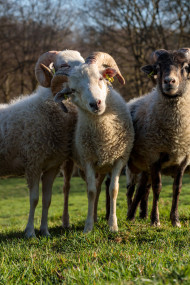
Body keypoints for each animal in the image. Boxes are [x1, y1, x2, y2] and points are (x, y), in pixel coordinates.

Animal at [0, 49, 84, 237]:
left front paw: (45, 231)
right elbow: (34, 199)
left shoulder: (52, 166)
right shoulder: (33, 163)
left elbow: (47, 200)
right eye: (64, 65)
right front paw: (30, 232)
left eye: (82, 61)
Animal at [52, 51, 134, 231]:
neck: (105, 136)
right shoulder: (88, 159)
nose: (95, 103)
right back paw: (67, 221)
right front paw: (88, 227)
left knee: (99, 185)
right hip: (70, 161)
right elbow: (90, 191)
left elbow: (113, 190)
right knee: (67, 187)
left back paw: (96, 217)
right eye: (73, 90)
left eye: (101, 78)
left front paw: (113, 225)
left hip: (102, 167)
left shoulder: (119, 159)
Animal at [126, 48, 190, 226]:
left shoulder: (183, 159)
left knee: (141, 189)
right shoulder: (154, 156)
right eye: (158, 67)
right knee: (128, 189)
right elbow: (158, 187)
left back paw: (133, 216)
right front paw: (155, 220)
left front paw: (175, 220)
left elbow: (177, 188)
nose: (169, 81)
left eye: (185, 67)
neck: (175, 134)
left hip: (143, 167)